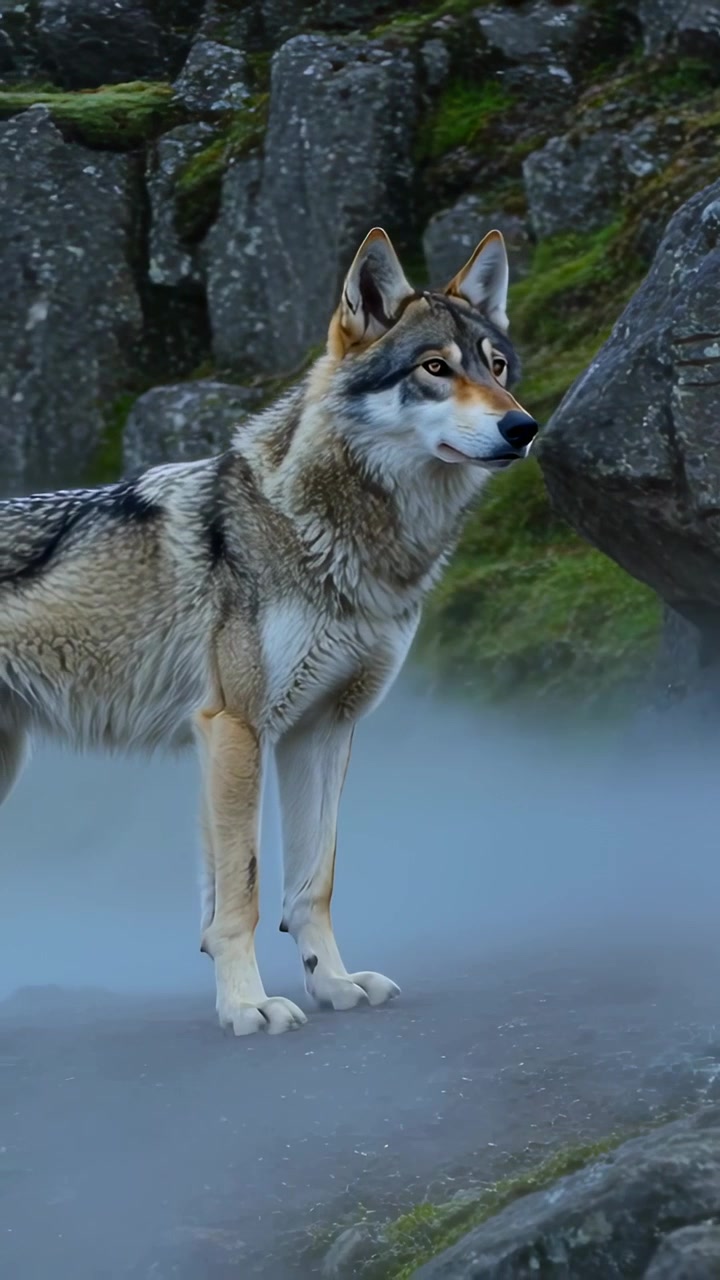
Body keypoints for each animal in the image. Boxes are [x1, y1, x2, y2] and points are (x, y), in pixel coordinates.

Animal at [0, 227, 537, 1035]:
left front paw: (333, 985)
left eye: (496, 368)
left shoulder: (323, 729)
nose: (523, 426)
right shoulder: (236, 727)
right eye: (435, 368)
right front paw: (247, 1005)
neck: (337, 537)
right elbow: (242, 893)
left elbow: (311, 884)